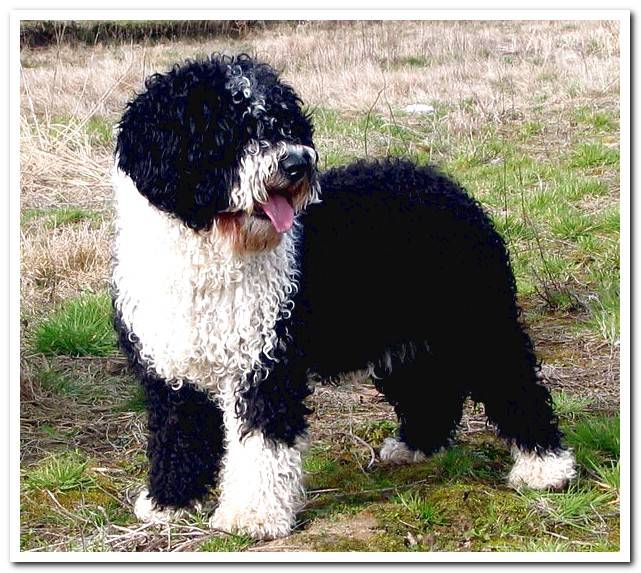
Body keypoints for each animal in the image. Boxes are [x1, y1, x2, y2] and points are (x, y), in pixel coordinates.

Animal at [110, 51, 576, 540]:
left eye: (285, 121)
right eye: (232, 129)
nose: (297, 163)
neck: (212, 257)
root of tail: (440, 182)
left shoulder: (266, 364)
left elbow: (262, 447)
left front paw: (254, 515)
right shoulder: (170, 371)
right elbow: (176, 436)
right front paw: (170, 501)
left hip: (478, 321)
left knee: (515, 384)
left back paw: (546, 467)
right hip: (407, 340)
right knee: (430, 390)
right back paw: (417, 446)